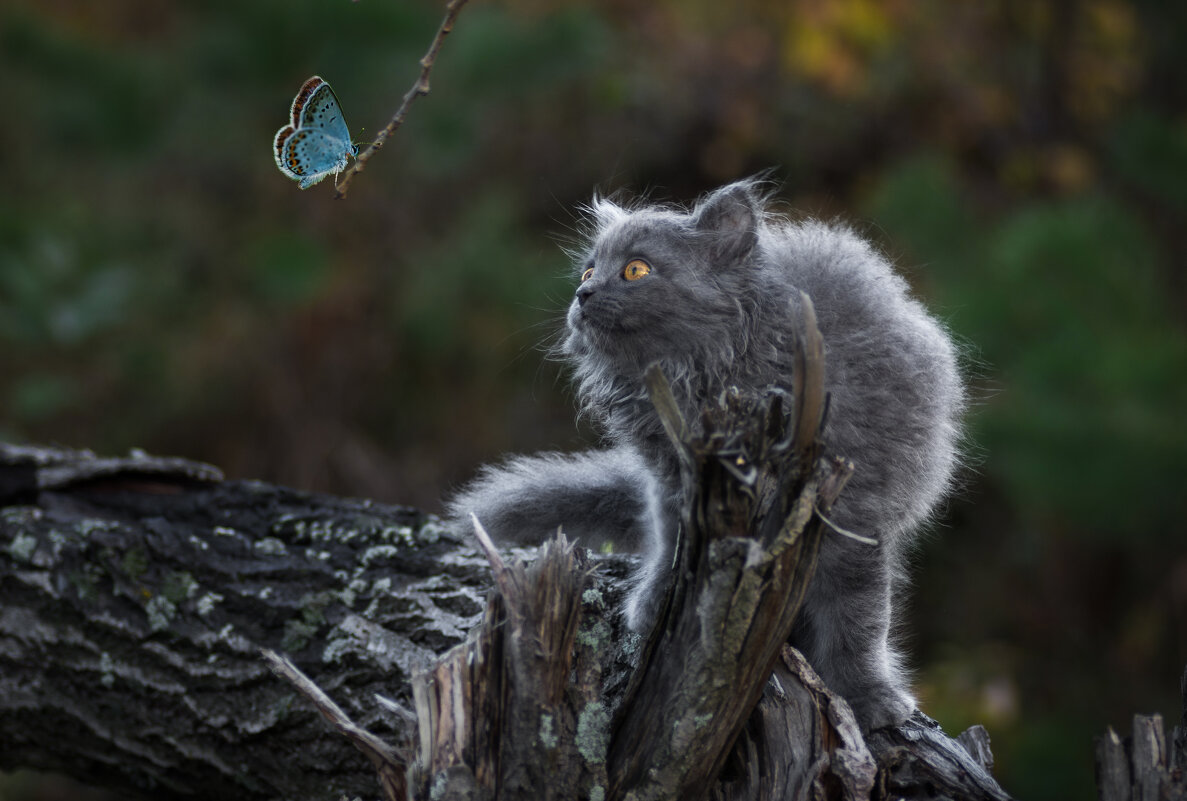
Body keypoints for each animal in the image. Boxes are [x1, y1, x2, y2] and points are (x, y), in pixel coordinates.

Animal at [451, 181, 963, 730]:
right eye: (589, 271)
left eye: (635, 270)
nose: (582, 294)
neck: (704, 376)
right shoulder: (671, 484)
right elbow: (671, 546)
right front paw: (656, 603)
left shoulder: (853, 510)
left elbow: (858, 616)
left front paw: (870, 696)